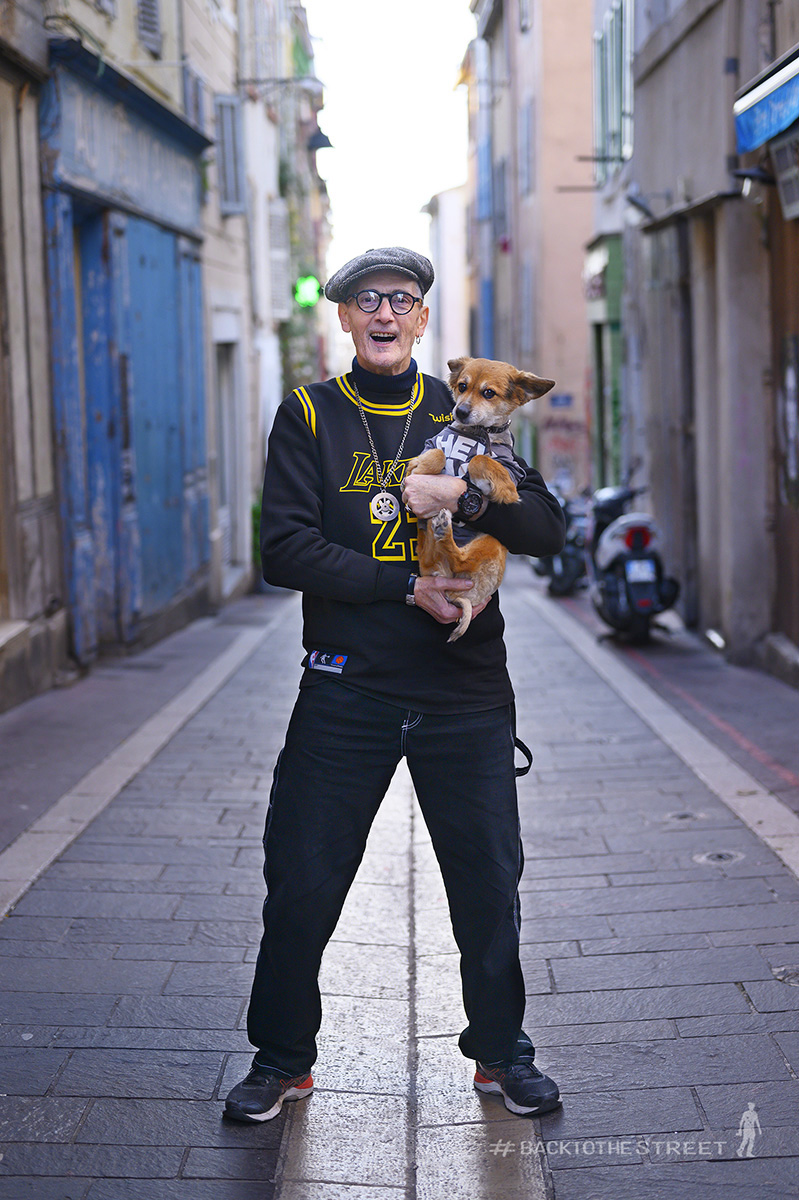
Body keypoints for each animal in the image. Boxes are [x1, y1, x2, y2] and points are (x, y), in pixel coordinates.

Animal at [406, 356, 555, 642]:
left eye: (489, 393)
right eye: (462, 386)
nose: (461, 411)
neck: (474, 432)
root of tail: (455, 594)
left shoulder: (512, 468)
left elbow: (479, 459)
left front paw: (504, 488)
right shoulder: (432, 444)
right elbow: (438, 454)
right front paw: (418, 468)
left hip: (492, 543)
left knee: (460, 557)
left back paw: (444, 531)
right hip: (430, 564)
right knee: (427, 553)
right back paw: (434, 529)